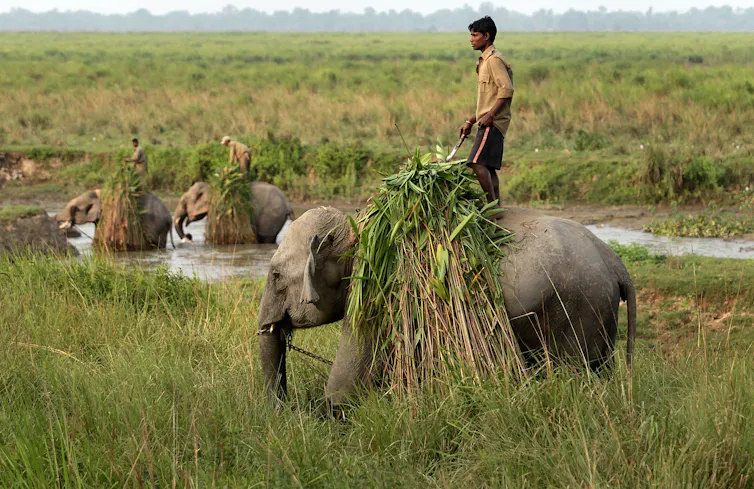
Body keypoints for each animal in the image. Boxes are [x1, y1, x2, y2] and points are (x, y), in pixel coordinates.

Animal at [257, 206, 637, 406]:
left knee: (576, 372)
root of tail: (615, 261)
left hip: (579, 309)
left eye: (275, 275)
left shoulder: (375, 293)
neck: (360, 227)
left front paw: (330, 410)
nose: (285, 408)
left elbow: (353, 368)